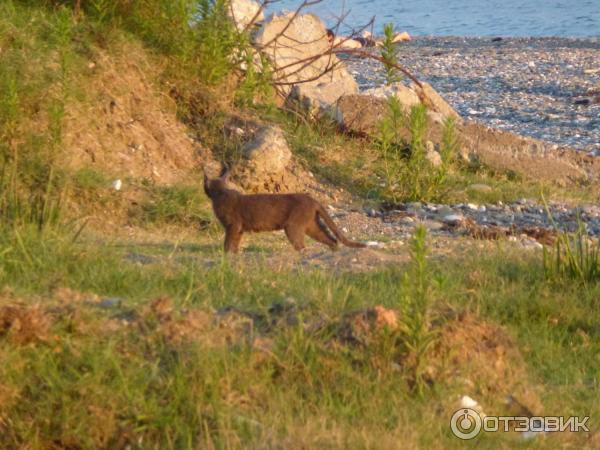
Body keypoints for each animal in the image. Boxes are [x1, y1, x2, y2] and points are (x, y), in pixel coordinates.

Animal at [205, 170, 366, 253]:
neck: (221, 194)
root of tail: (313, 200)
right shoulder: (239, 229)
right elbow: (235, 242)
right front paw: (234, 254)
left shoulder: (233, 225)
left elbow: (228, 241)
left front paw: (226, 254)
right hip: (311, 226)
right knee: (330, 238)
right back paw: (333, 252)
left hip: (293, 226)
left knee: (302, 245)